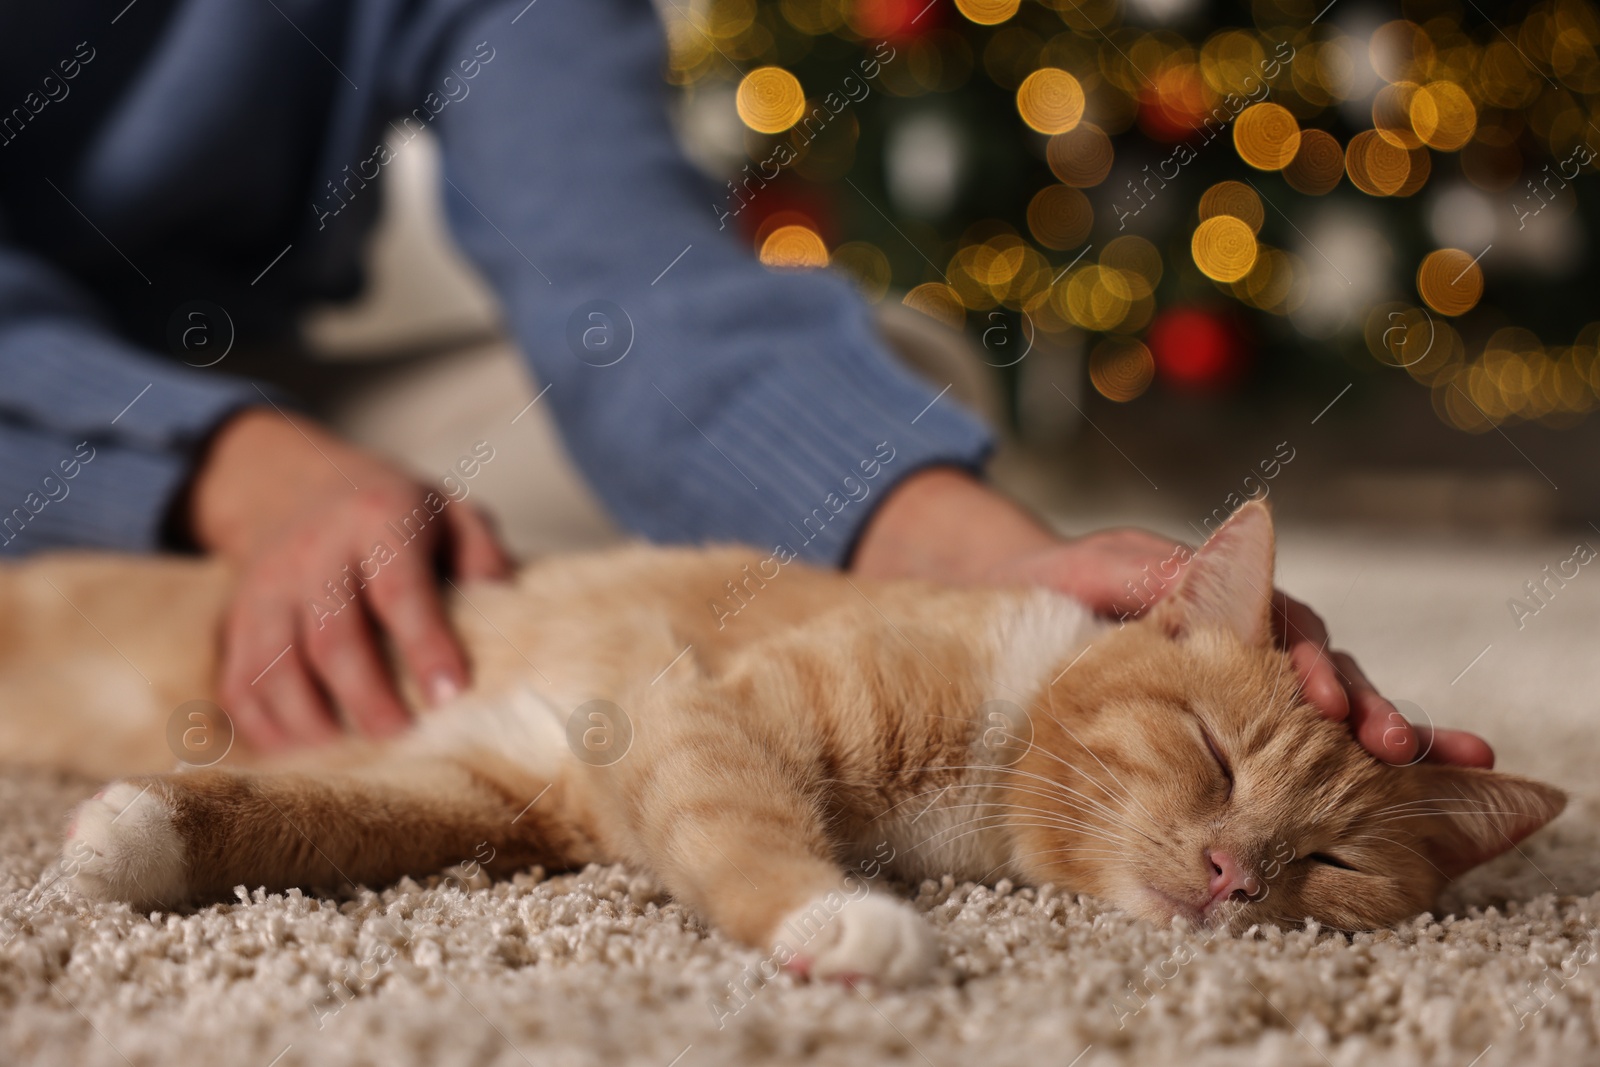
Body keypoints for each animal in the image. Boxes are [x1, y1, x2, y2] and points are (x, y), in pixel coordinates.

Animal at [0, 505, 1561, 991]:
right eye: (1214, 755)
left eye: (1331, 859)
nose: (1238, 872)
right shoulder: (700, 710)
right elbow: (743, 822)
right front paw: (841, 921)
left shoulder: (491, 786)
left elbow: (312, 816)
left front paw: (127, 837)